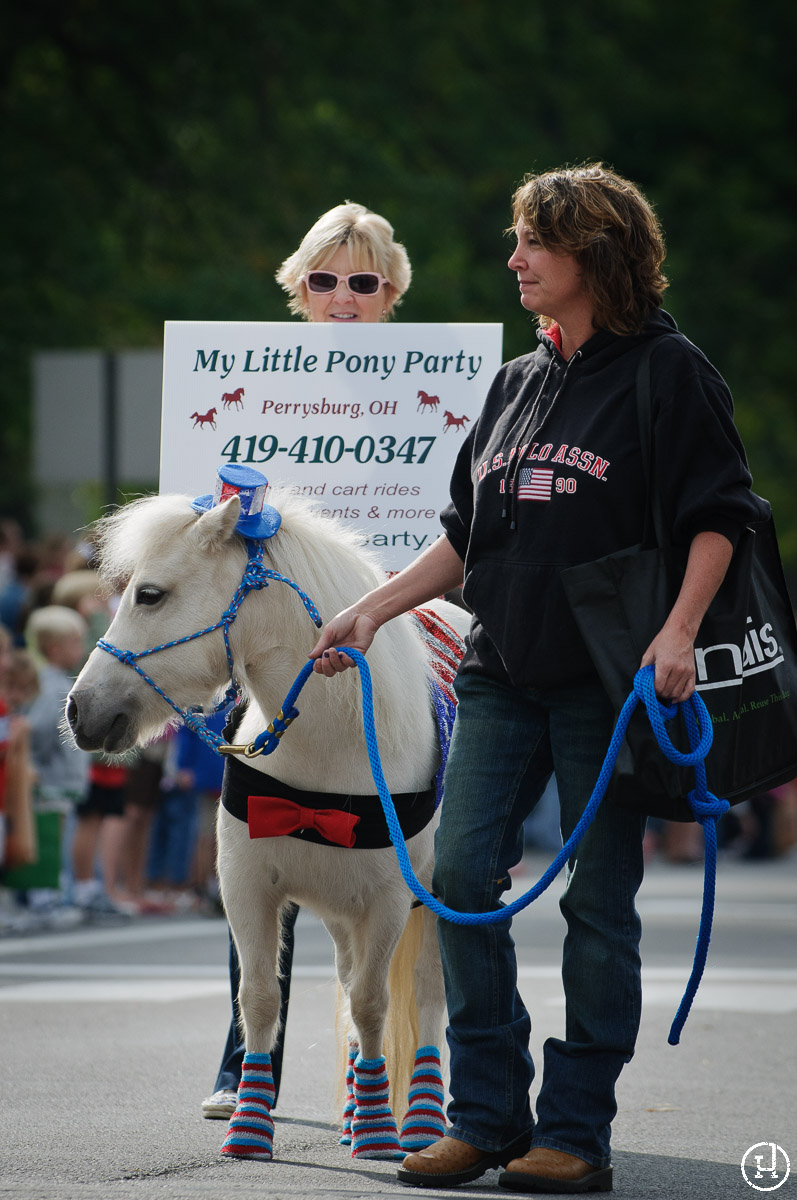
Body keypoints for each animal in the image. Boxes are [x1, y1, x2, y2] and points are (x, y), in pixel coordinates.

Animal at [69, 484, 468, 1161]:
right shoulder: (247, 888)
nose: (77, 710)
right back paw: (355, 1114)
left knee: (427, 998)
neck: (329, 750)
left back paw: (417, 1123)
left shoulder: (391, 900)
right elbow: (260, 1000)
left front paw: (380, 1135)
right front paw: (249, 1127)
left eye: (149, 594)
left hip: (437, 904)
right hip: (338, 908)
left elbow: (373, 1003)